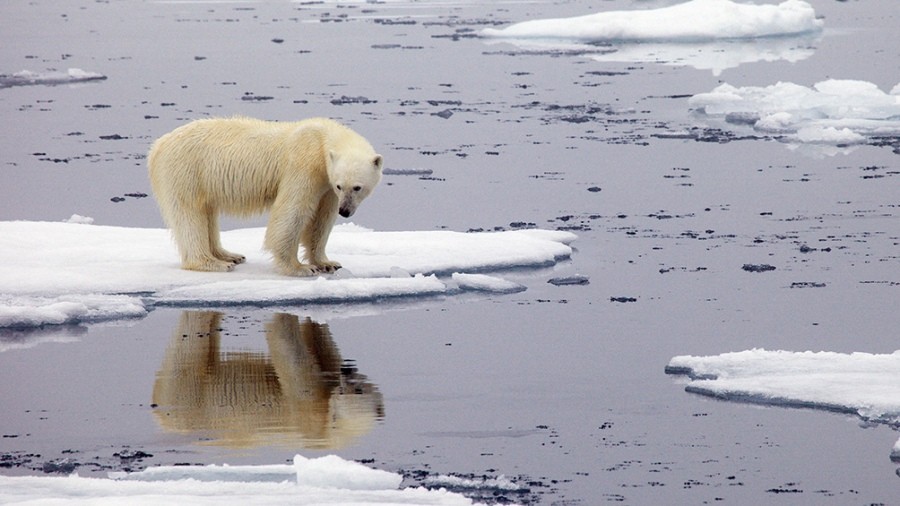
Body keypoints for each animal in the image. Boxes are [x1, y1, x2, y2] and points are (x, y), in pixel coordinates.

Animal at [149, 117, 382, 276]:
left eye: (357, 187)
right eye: (341, 186)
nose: (345, 211)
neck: (320, 140)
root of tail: (158, 145)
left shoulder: (326, 184)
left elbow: (322, 219)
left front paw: (327, 263)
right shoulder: (304, 166)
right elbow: (292, 211)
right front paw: (300, 268)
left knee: (207, 213)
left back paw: (229, 255)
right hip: (186, 171)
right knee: (189, 214)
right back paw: (212, 263)